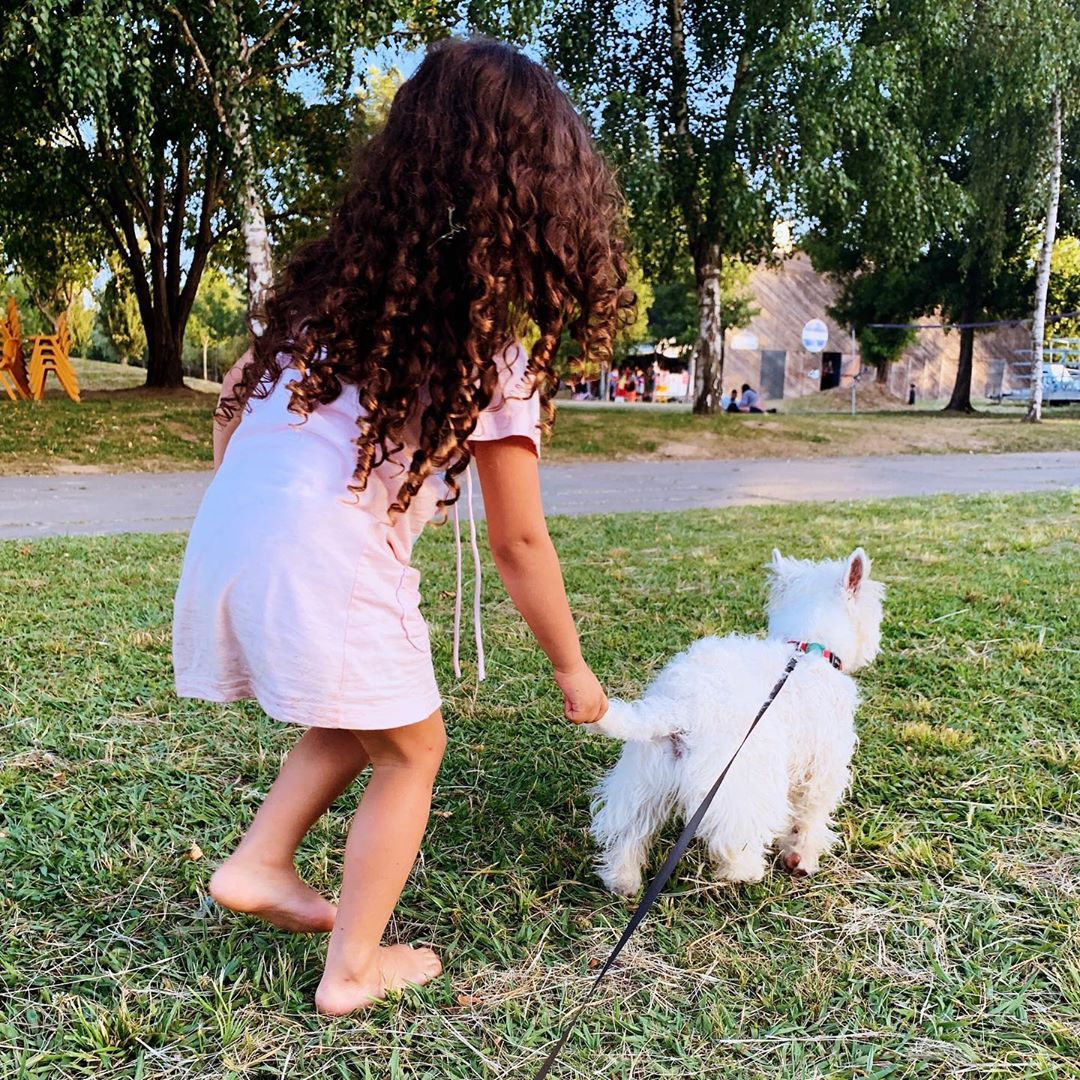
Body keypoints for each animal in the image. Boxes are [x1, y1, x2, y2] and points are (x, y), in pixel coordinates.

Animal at [591, 548, 885, 894]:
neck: (808, 647)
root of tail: (679, 704)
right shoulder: (822, 767)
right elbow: (810, 817)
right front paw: (802, 859)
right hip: (737, 783)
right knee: (734, 838)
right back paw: (747, 871)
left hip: (644, 781)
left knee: (629, 831)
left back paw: (624, 881)